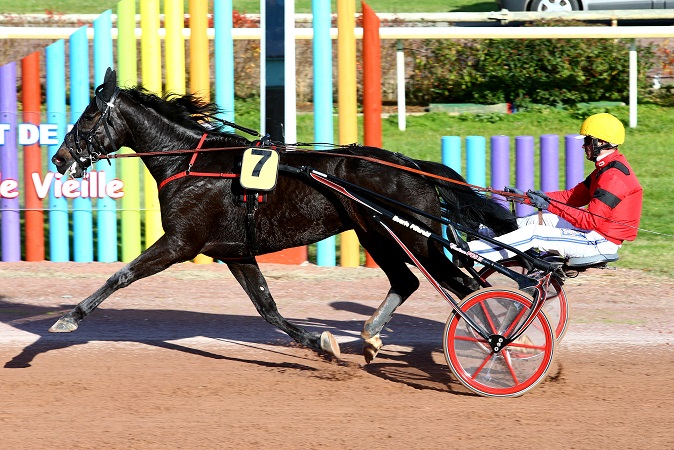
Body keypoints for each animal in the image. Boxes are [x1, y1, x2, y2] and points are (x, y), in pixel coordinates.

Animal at [50, 67, 516, 362]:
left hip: (414, 238)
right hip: (377, 235)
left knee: (464, 286)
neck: (189, 162)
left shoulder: (182, 242)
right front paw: (322, 343)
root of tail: (413, 165)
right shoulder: (235, 251)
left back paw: (496, 343)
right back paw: (370, 338)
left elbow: (121, 275)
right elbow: (268, 309)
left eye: (88, 116)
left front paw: (68, 319)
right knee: (409, 282)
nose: (59, 158)